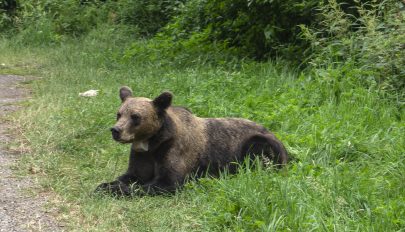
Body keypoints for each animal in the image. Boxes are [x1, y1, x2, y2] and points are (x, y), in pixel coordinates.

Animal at [95, 86, 288, 196]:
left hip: (256, 143)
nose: (116, 130)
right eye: (119, 114)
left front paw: (115, 189)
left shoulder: (173, 151)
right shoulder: (142, 155)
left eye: (135, 116)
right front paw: (104, 185)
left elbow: (165, 182)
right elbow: (131, 175)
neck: (151, 142)